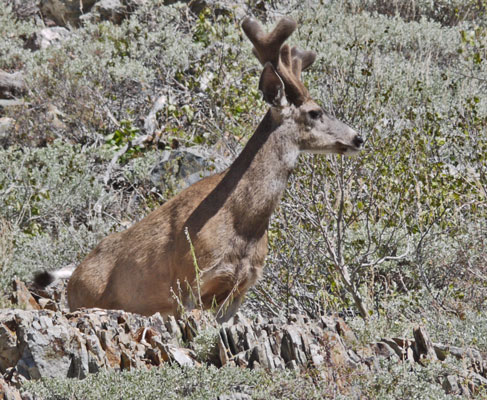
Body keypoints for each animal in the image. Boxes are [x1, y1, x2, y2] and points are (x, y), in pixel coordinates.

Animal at [33, 16, 362, 322]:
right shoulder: (188, 281)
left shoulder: (239, 289)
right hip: (88, 302)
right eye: (315, 112)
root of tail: (75, 273)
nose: (358, 137)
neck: (244, 225)